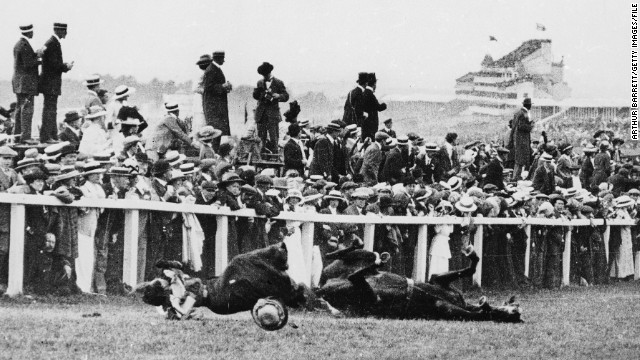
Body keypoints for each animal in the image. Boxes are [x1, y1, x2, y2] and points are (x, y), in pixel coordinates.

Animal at [318, 245, 524, 324]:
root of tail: (322, 287)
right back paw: (374, 258)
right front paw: (472, 255)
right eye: (514, 307)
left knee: (355, 275)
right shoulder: (438, 280)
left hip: (368, 295)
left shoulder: (446, 307)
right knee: (349, 257)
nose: (515, 310)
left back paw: (377, 261)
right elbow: (470, 269)